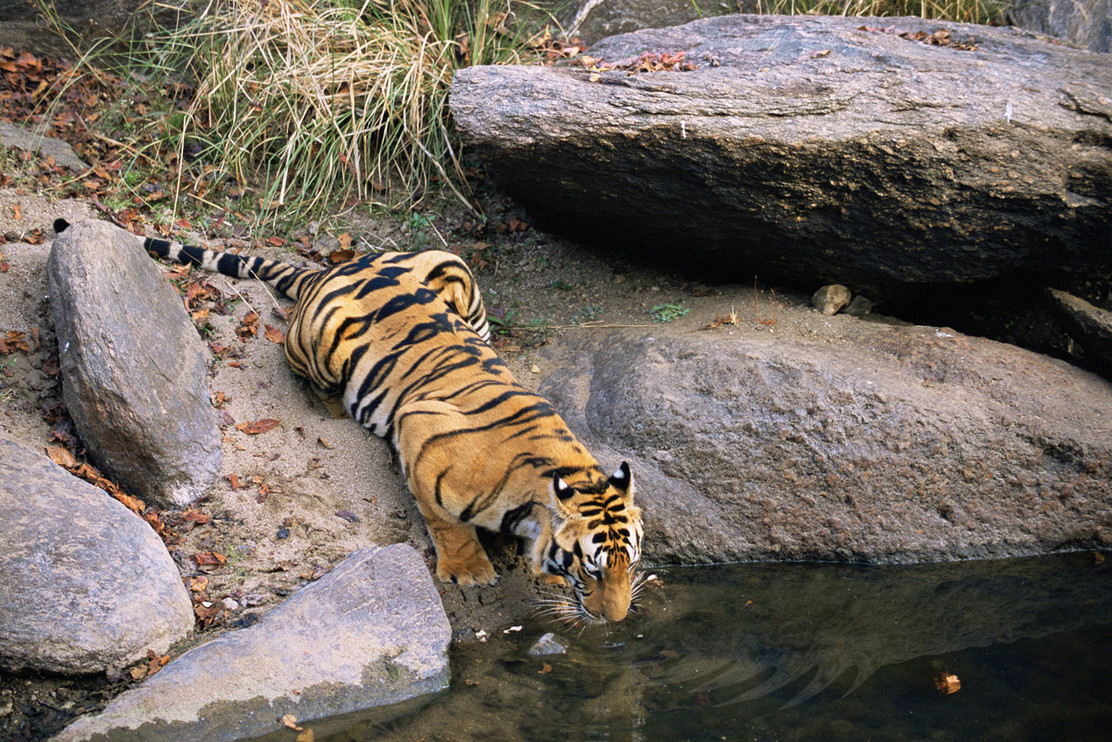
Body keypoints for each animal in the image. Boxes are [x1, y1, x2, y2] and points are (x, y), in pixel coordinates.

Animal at [53, 218, 644, 623]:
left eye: (629, 565)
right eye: (592, 568)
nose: (616, 620)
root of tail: (332, 265)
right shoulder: (421, 431)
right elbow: (445, 522)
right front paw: (471, 573)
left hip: (451, 266)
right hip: (319, 345)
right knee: (304, 372)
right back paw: (333, 408)